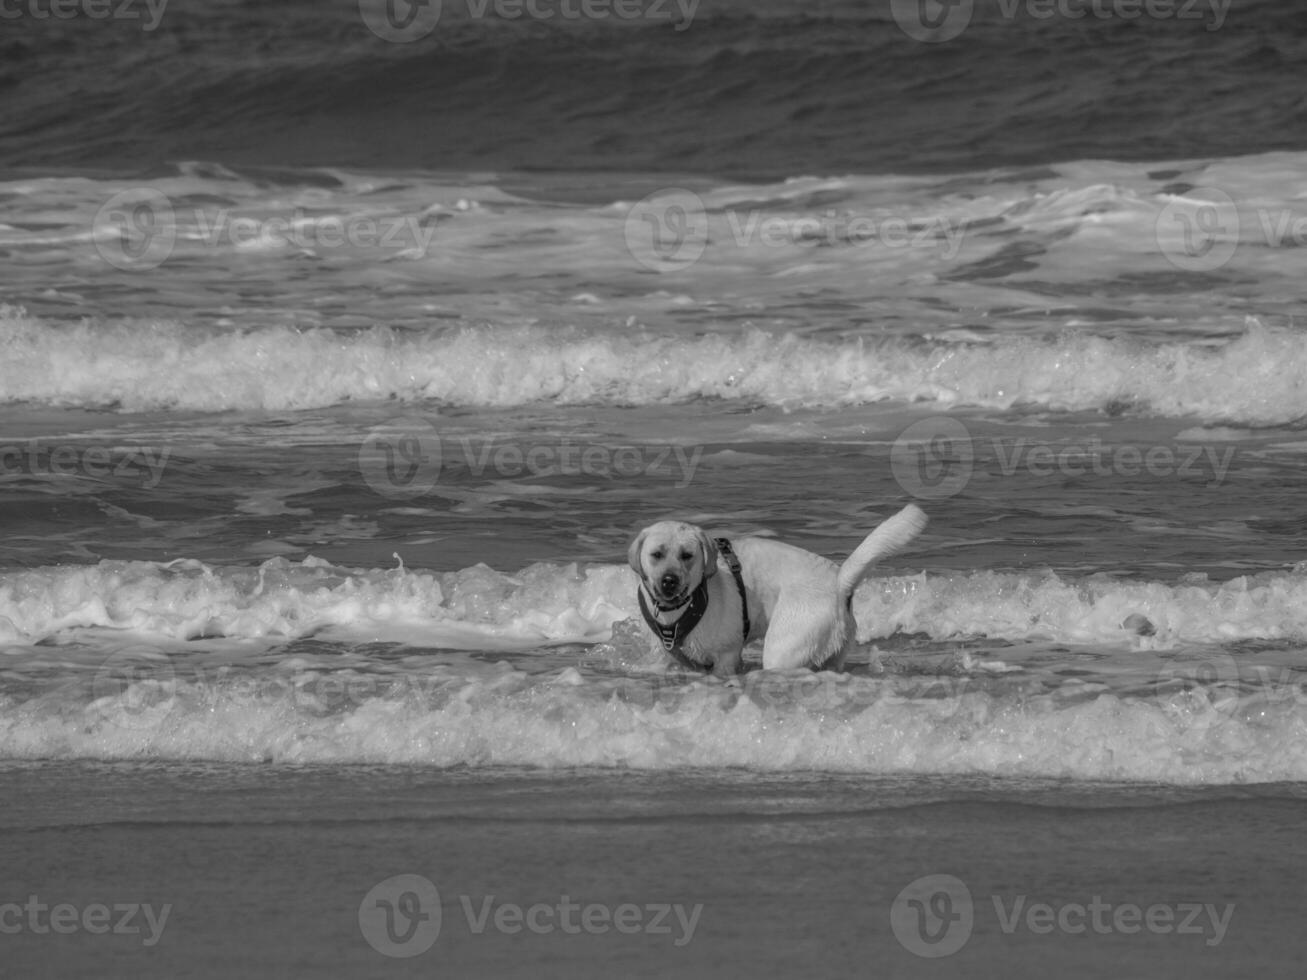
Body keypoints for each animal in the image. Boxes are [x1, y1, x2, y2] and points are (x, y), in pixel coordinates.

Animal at [624, 506, 925, 674]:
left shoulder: (726, 657)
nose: (669, 581)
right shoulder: (667, 658)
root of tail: (839, 582)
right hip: (834, 654)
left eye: (687, 556)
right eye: (656, 554)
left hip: (783, 649)